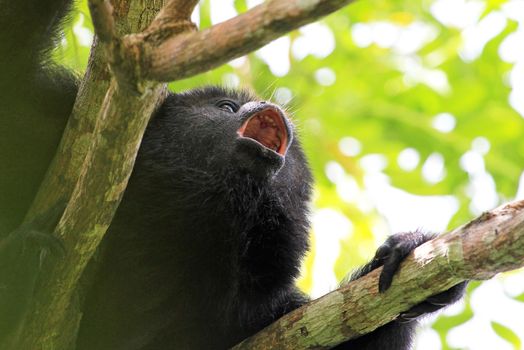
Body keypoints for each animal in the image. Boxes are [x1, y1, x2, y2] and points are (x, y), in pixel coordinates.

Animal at [1, 1, 466, 348]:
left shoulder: (257, 309)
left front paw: (409, 252)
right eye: (225, 107)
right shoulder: (43, 122)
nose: (266, 106)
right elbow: (14, 58)